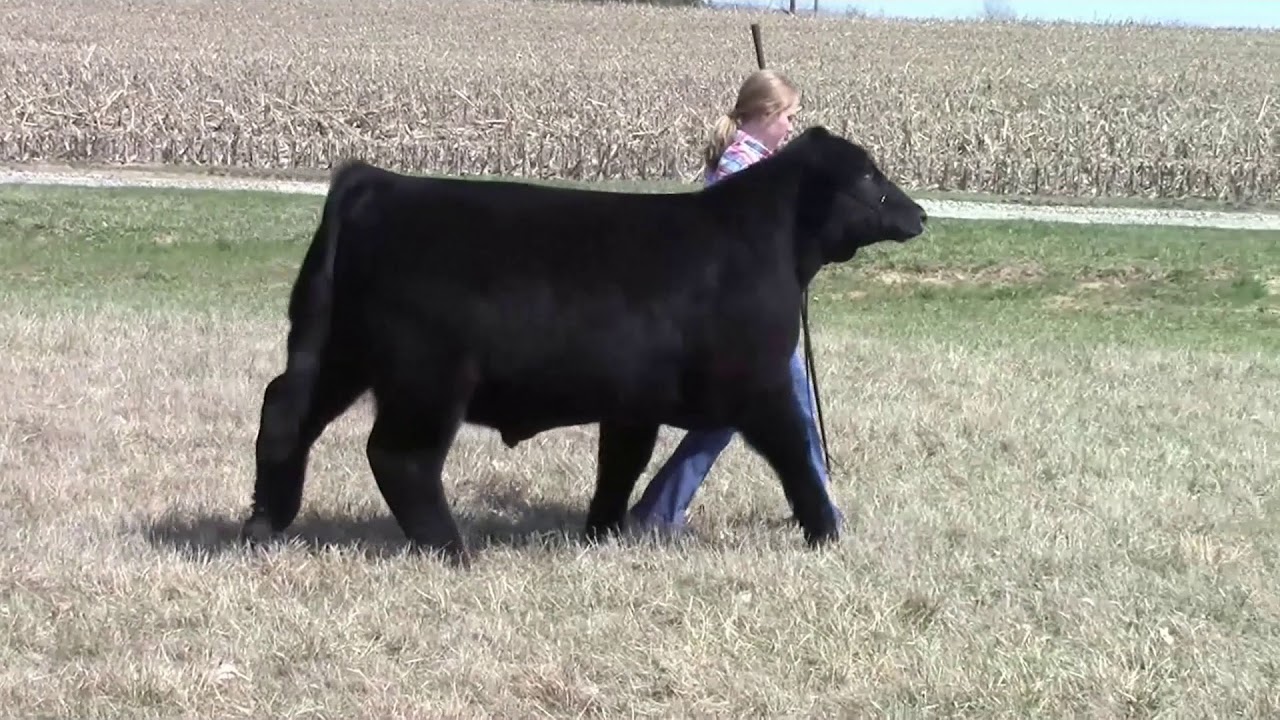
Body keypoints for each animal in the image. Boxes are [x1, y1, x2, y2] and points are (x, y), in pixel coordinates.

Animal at [240, 125, 928, 567]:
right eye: (867, 174)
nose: (919, 214)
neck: (770, 244)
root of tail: (376, 181)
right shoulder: (758, 382)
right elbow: (794, 452)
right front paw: (827, 532)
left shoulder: (634, 399)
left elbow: (620, 464)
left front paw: (602, 534)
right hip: (427, 379)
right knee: (399, 457)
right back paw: (453, 552)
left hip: (335, 354)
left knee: (286, 416)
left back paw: (264, 526)